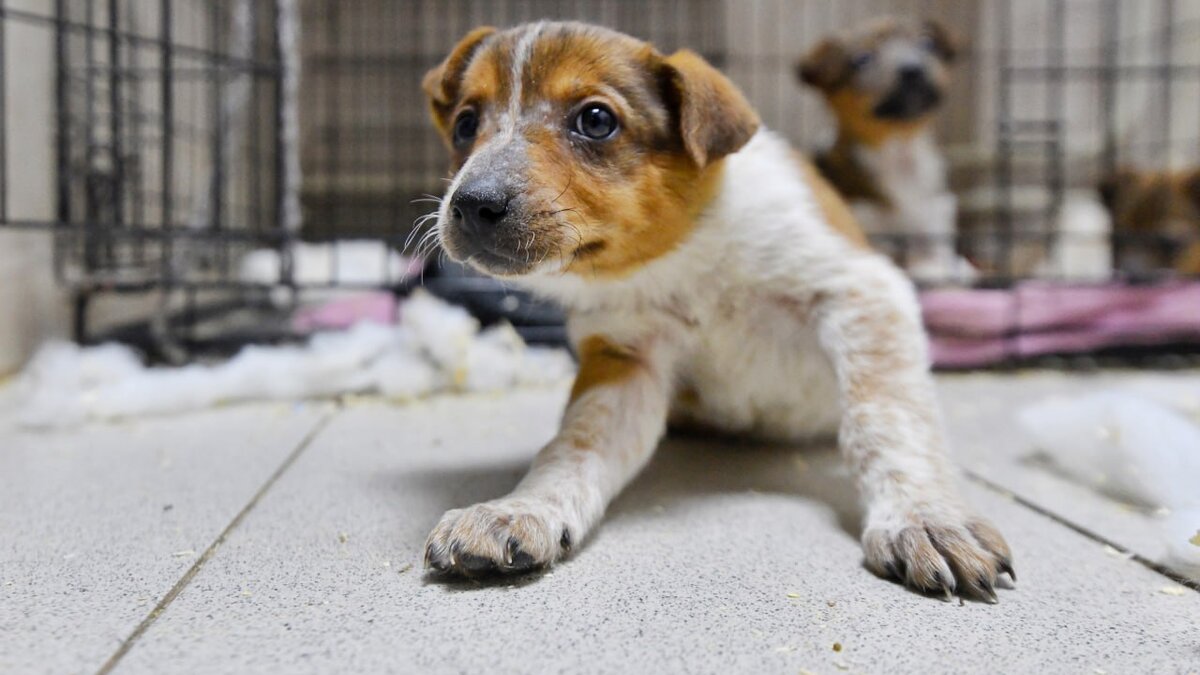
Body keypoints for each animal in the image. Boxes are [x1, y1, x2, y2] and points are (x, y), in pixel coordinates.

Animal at [796, 18, 974, 281]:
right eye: (862, 59)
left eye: (927, 43)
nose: (912, 69)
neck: (898, 151)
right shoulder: (865, 226)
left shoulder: (935, 218)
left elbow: (935, 254)